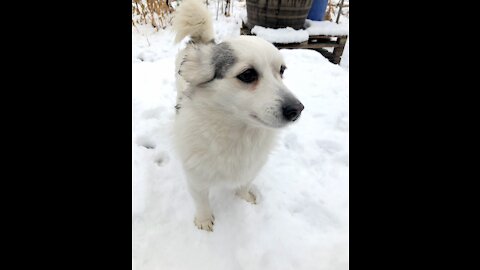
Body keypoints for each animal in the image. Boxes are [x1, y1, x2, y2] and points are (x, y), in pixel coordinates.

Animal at [171, 0, 302, 232]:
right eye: (248, 74)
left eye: (282, 70)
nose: (297, 109)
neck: (238, 133)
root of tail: (203, 42)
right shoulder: (196, 177)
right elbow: (201, 200)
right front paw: (204, 220)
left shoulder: (252, 167)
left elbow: (245, 183)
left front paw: (244, 198)